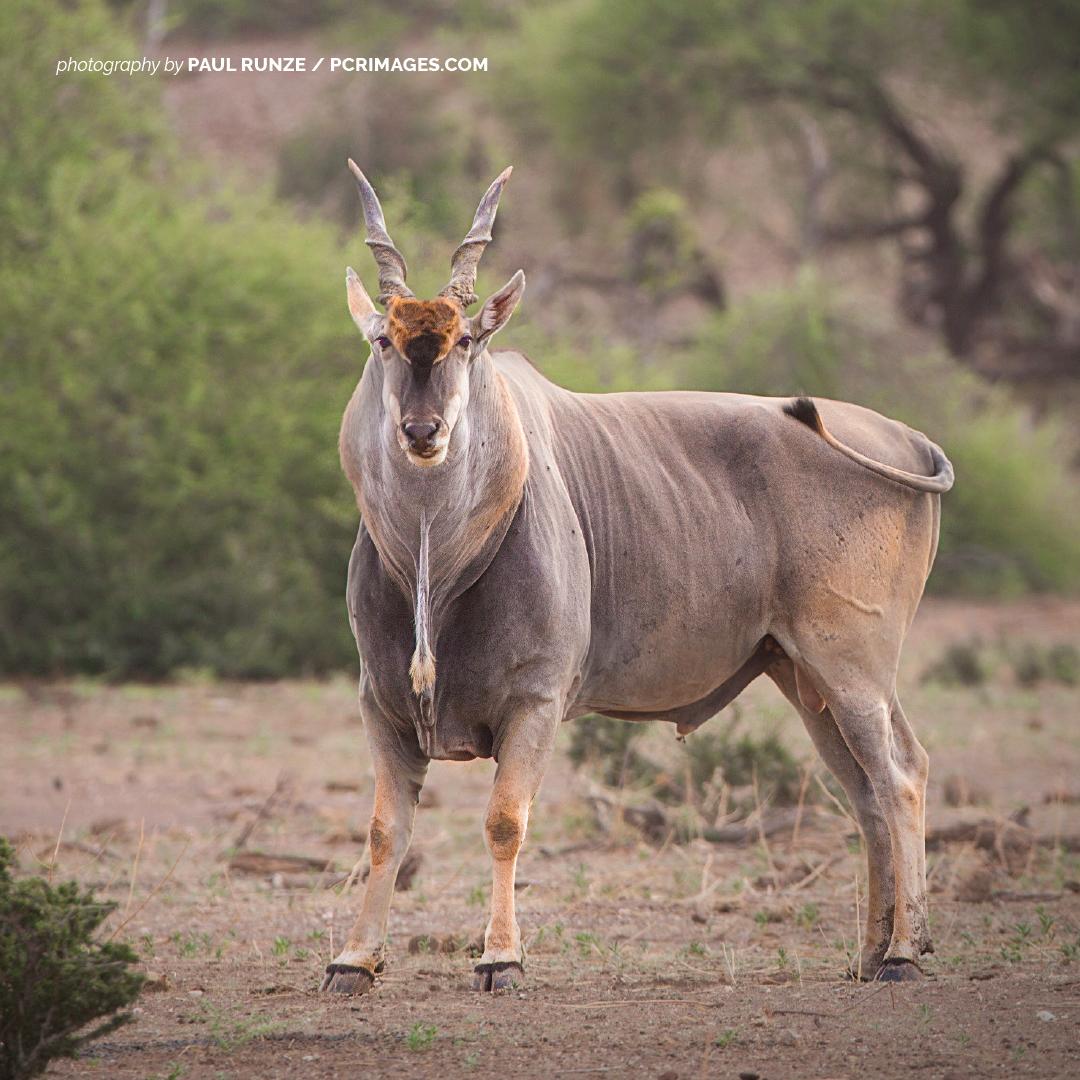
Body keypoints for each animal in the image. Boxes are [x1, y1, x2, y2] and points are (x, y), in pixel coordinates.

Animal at [321, 162, 954, 993]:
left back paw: (905, 955)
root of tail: (908, 439)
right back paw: (871, 953)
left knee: (903, 774)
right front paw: (353, 961)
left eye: (467, 340)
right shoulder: (384, 708)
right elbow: (383, 831)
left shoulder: (535, 702)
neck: (438, 557)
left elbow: (503, 823)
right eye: (384, 342)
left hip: (853, 667)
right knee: (865, 794)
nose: (422, 431)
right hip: (805, 677)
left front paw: (500, 958)